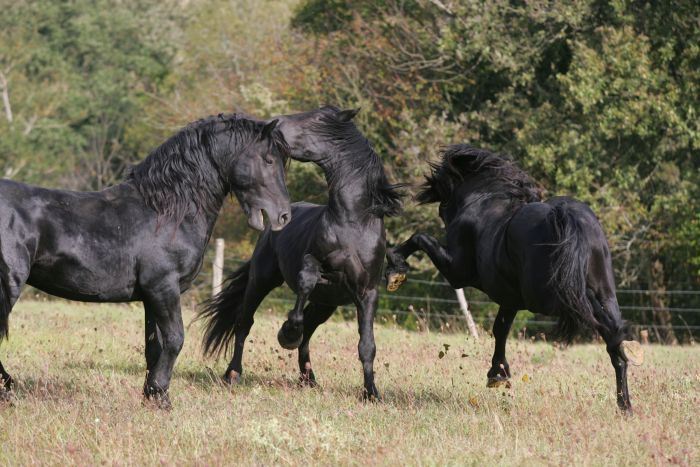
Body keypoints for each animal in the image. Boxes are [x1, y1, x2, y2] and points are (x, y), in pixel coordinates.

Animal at [200, 106, 402, 398]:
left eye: (316, 119)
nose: (274, 124)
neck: (353, 224)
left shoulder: (367, 292)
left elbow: (367, 345)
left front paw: (371, 393)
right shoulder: (311, 265)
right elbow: (305, 285)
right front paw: (286, 334)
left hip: (326, 303)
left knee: (308, 331)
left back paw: (309, 378)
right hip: (261, 282)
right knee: (244, 322)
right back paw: (233, 374)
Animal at [386, 145, 644, 414]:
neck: (483, 199)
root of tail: (565, 216)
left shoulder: (457, 273)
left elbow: (420, 238)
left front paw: (395, 267)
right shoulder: (509, 299)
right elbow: (500, 329)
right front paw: (498, 373)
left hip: (547, 298)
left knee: (601, 322)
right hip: (603, 294)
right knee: (612, 341)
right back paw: (625, 403)